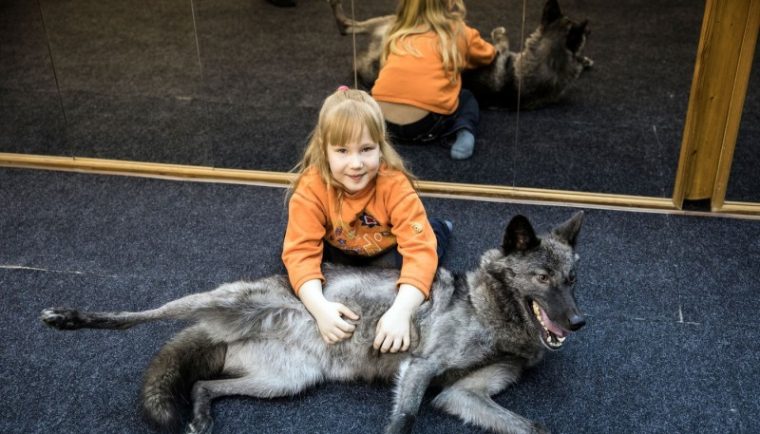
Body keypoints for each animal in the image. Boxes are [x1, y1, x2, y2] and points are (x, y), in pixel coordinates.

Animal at [40, 212, 588, 432]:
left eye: (572, 279)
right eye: (542, 278)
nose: (579, 322)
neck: (490, 310)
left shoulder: (460, 394)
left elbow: (534, 427)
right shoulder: (419, 369)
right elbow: (406, 418)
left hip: (287, 382)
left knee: (203, 384)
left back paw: (201, 414)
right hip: (222, 301)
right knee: (142, 315)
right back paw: (69, 318)